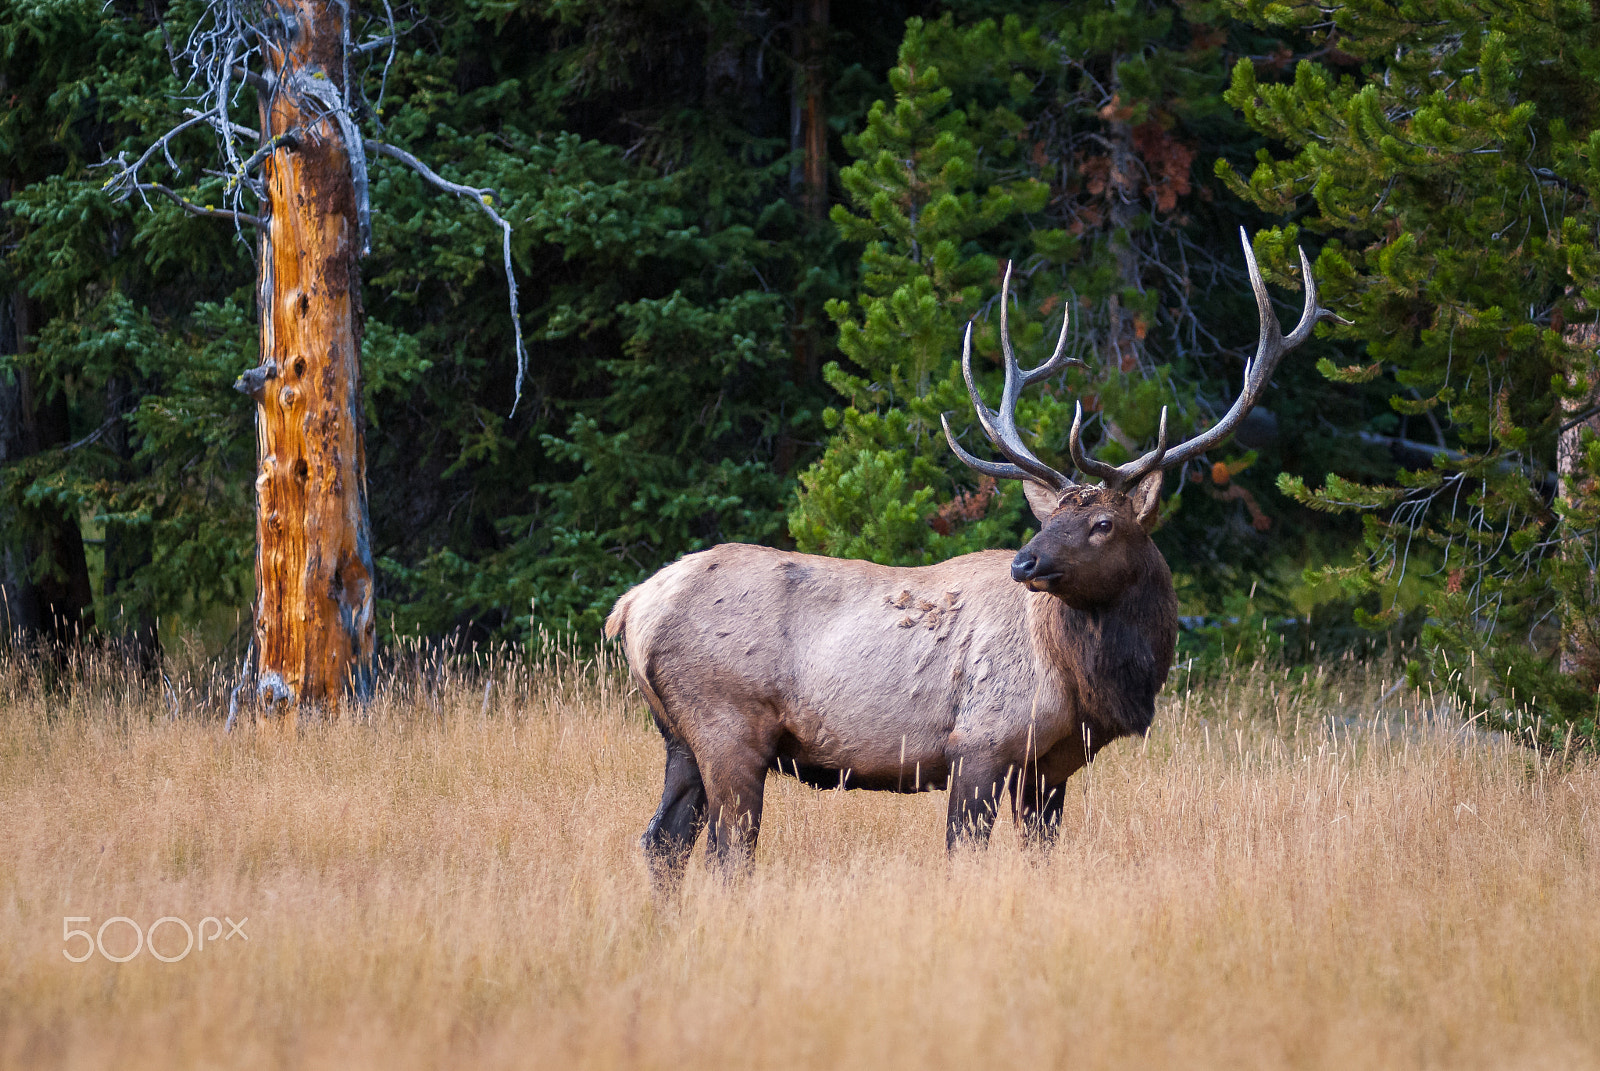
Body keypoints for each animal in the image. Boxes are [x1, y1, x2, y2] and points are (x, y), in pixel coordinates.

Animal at [606, 228, 1347, 879]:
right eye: (1053, 518)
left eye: (1104, 522)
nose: (1026, 563)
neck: (1090, 680)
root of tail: (632, 607)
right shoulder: (981, 742)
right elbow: (963, 855)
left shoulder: (1048, 768)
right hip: (728, 724)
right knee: (727, 851)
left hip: (678, 736)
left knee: (662, 841)